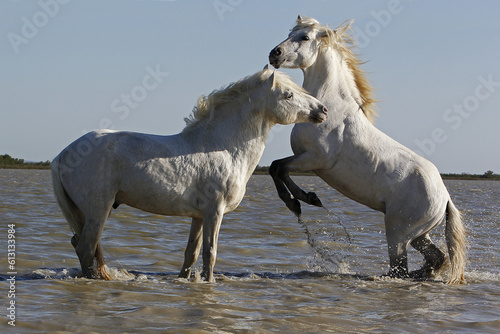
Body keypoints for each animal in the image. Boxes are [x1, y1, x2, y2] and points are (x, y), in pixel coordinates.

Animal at [51, 69, 328, 284]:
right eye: (288, 94)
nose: (323, 110)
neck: (223, 148)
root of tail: (62, 155)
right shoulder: (214, 211)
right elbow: (210, 253)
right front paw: (209, 282)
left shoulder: (198, 215)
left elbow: (191, 254)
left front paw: (185, 280)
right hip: (98, 210)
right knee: (86, 248)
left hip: (90, 212)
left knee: (80, 244)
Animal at [268, 17, 466, 284]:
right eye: (290, 33)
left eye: (305, 37)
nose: (274, 54)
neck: (328, 108)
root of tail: (445, 197)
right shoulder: (304, 158)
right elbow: (277, 167)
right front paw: (307, 199)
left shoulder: (316, 159)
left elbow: (278, 167)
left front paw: (299, 201)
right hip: (418, 235)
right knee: (436, 259)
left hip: (398, 232)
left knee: (401, 269)